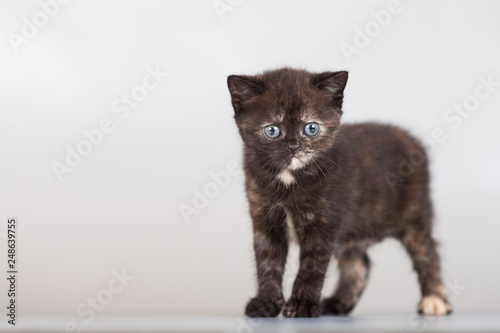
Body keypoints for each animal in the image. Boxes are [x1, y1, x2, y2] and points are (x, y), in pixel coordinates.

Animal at [227, 67, 454, 316]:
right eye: (272, 130)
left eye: (311, 128)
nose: (294, 147)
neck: (289, 178)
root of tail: (409, 139)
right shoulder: (265, 219)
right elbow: (267, 261)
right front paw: (266, 302)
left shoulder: (324, 222)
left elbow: (312, 266)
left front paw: (302, 304)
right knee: (360, 263)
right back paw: (337, 303)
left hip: (414, 214)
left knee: (427, 252)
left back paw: (435, 299)